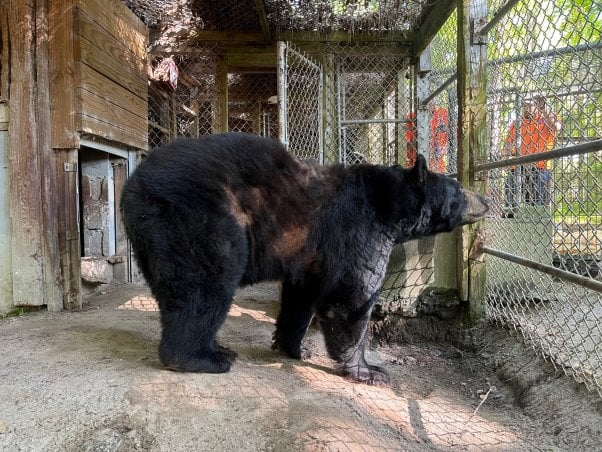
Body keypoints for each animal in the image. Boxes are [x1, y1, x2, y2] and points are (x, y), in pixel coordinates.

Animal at [122, 132, 488, 384]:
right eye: (458, 189)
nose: (486, 199)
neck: (390, 205)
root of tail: (133, 184)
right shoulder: (357, 229)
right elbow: (352, 295)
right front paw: (369, 370)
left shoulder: (312, 255)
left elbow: (301, 296)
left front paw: (294, 347)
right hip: (202, 217)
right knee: (206, 282)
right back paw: (203, 357)